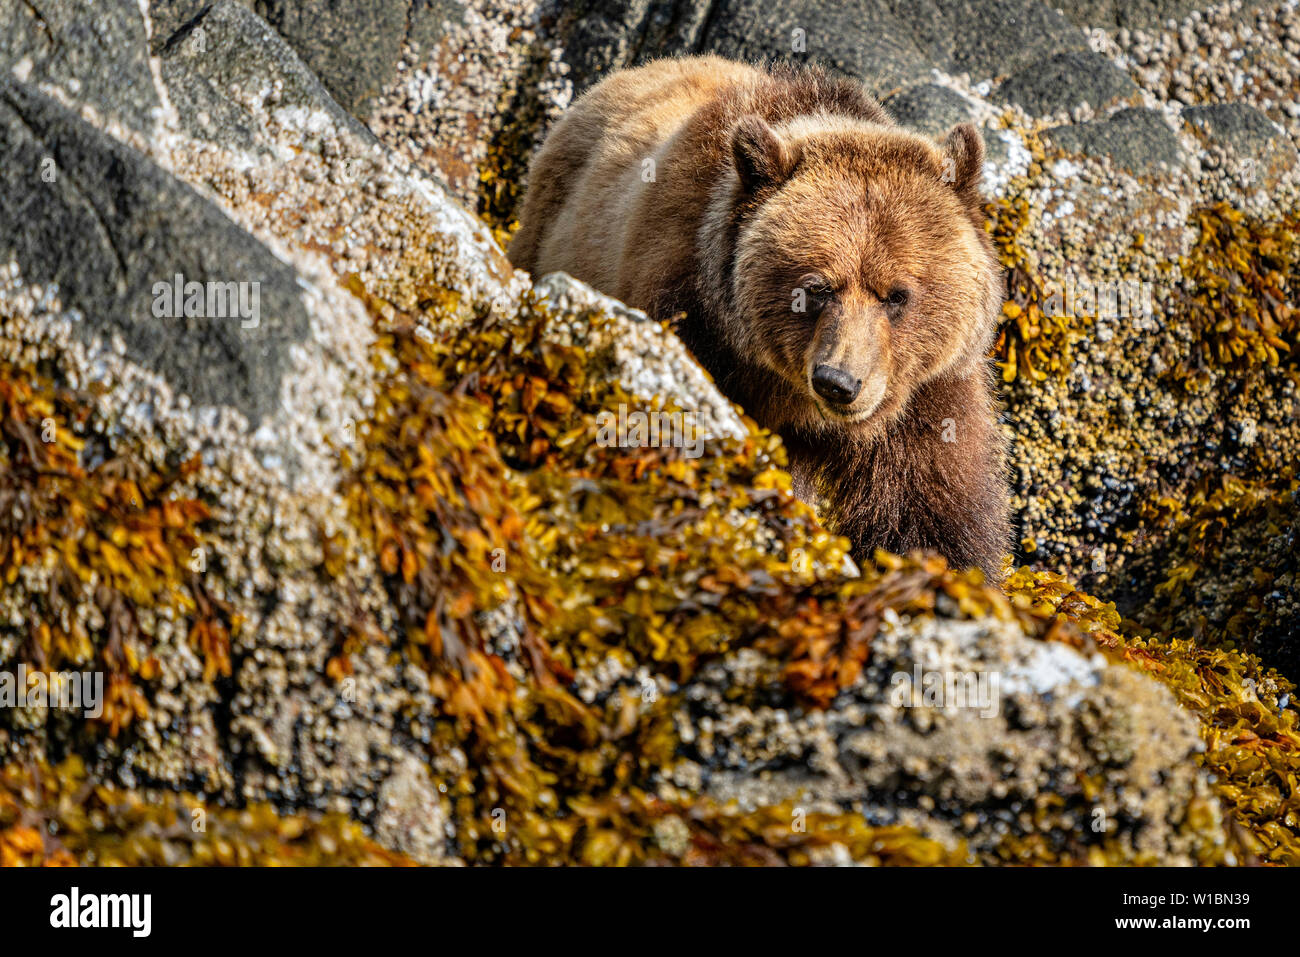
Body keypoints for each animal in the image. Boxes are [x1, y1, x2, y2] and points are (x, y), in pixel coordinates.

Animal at [512, 57, 1008, 574]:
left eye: (896, 295)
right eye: (816, 289)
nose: (838, 382)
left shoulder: (927, 396)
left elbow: (930, 510)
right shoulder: (693, 321)